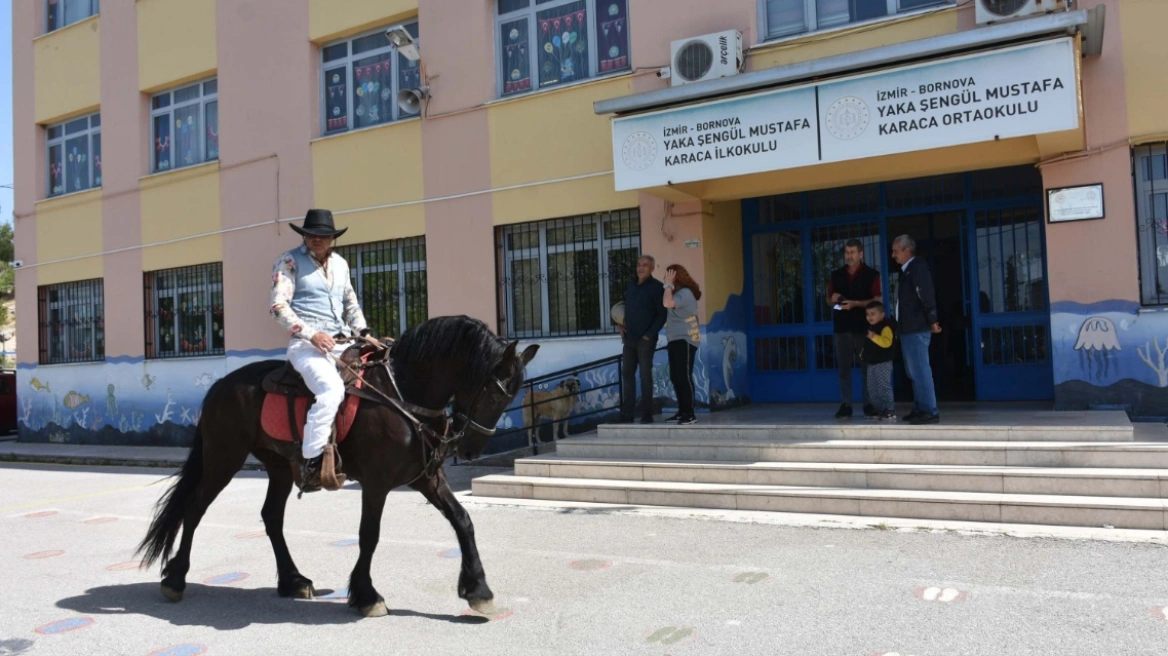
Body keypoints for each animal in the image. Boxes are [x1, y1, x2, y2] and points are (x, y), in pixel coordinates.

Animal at [135, 315, 537, 616]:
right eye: (493, 392)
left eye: (510, 395)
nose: (471, 450)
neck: (403, 393)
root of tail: (220, 385)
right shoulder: (376, 482)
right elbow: (369, 534)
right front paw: (366, 595)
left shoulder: (428, 478)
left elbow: (462, 520)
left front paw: (478, 589)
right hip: (223, 459)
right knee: (194, 508)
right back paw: (175, 579)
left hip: (279, 467)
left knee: (271, 517)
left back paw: (293, 580)